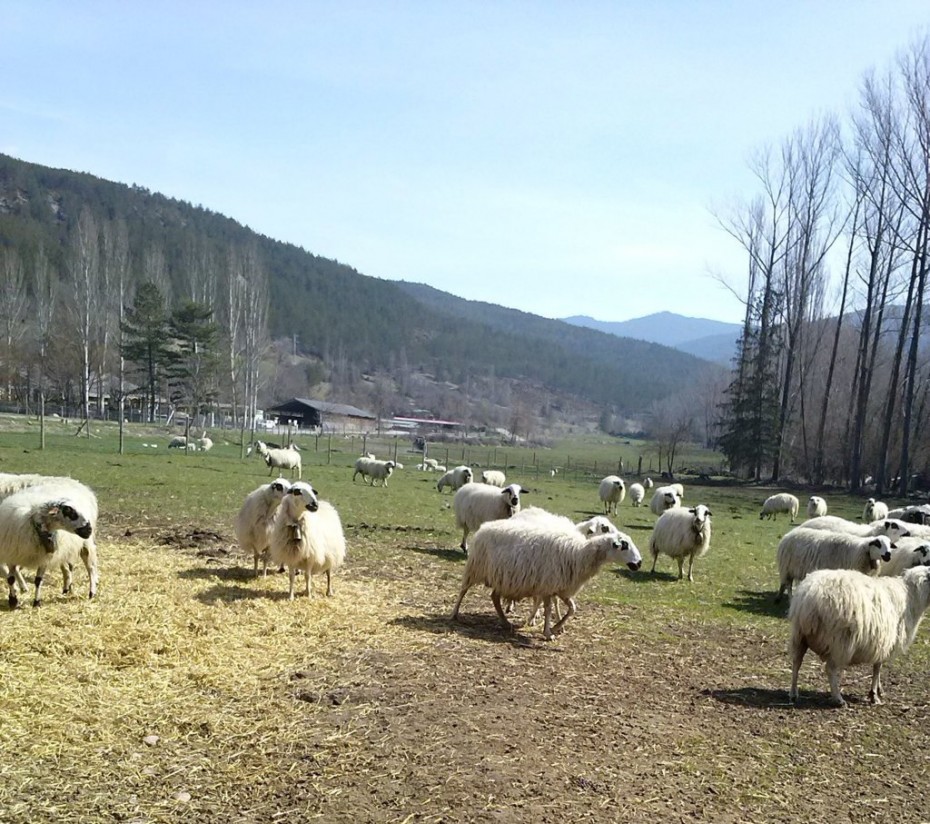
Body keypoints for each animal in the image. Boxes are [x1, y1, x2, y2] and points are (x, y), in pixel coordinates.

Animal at [448, 520, 640, 640]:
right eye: (624, 545)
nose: (638, 563)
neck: (579, 554)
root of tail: (485, 526)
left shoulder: (561, 588)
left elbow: (572, 608)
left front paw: (556, 627)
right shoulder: (548, 587)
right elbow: (548, 610)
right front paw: (549, 632)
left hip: (502, 578)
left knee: (494, 597)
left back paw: (505, 622)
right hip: (475, 567)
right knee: (463, 590)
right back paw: (454, 614)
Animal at [788, 568, 930, 708]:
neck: (911, 595)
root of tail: (810, 596)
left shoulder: (882, 643)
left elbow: (878, 667)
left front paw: (878, 690)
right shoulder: (884, 642)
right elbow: (877, 668)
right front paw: (874, 695)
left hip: (799, 635)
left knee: (796, 663)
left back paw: (794, 693)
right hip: (839, 642)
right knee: (830, 669)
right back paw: (838, 699)